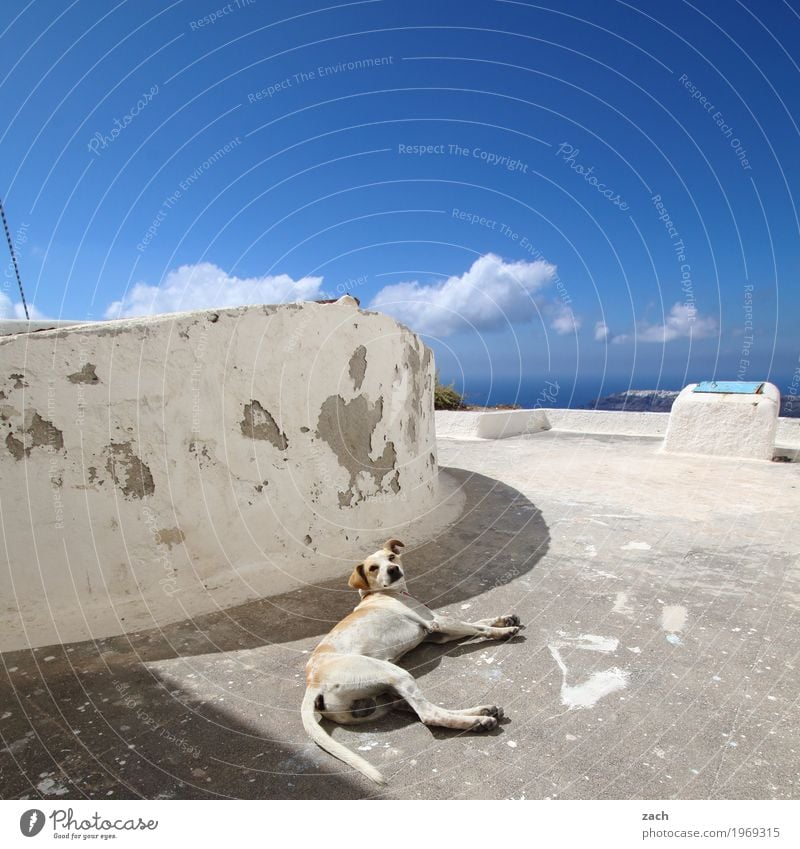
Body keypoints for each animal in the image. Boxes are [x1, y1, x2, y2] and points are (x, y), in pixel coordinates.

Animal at [304, 540, 520, 784]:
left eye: (391, 557)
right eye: (372, 568)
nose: (393, 569)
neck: (382, 593)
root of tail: (313, 682)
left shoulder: (439, 633)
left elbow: (477, 621)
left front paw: (504, 620)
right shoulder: (438, 623)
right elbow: (479, 627)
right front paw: (503, 631)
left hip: (383, 696)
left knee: (416, 708)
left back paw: (483, 712)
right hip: (395, 673)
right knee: (428, 715)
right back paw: (478, 722)